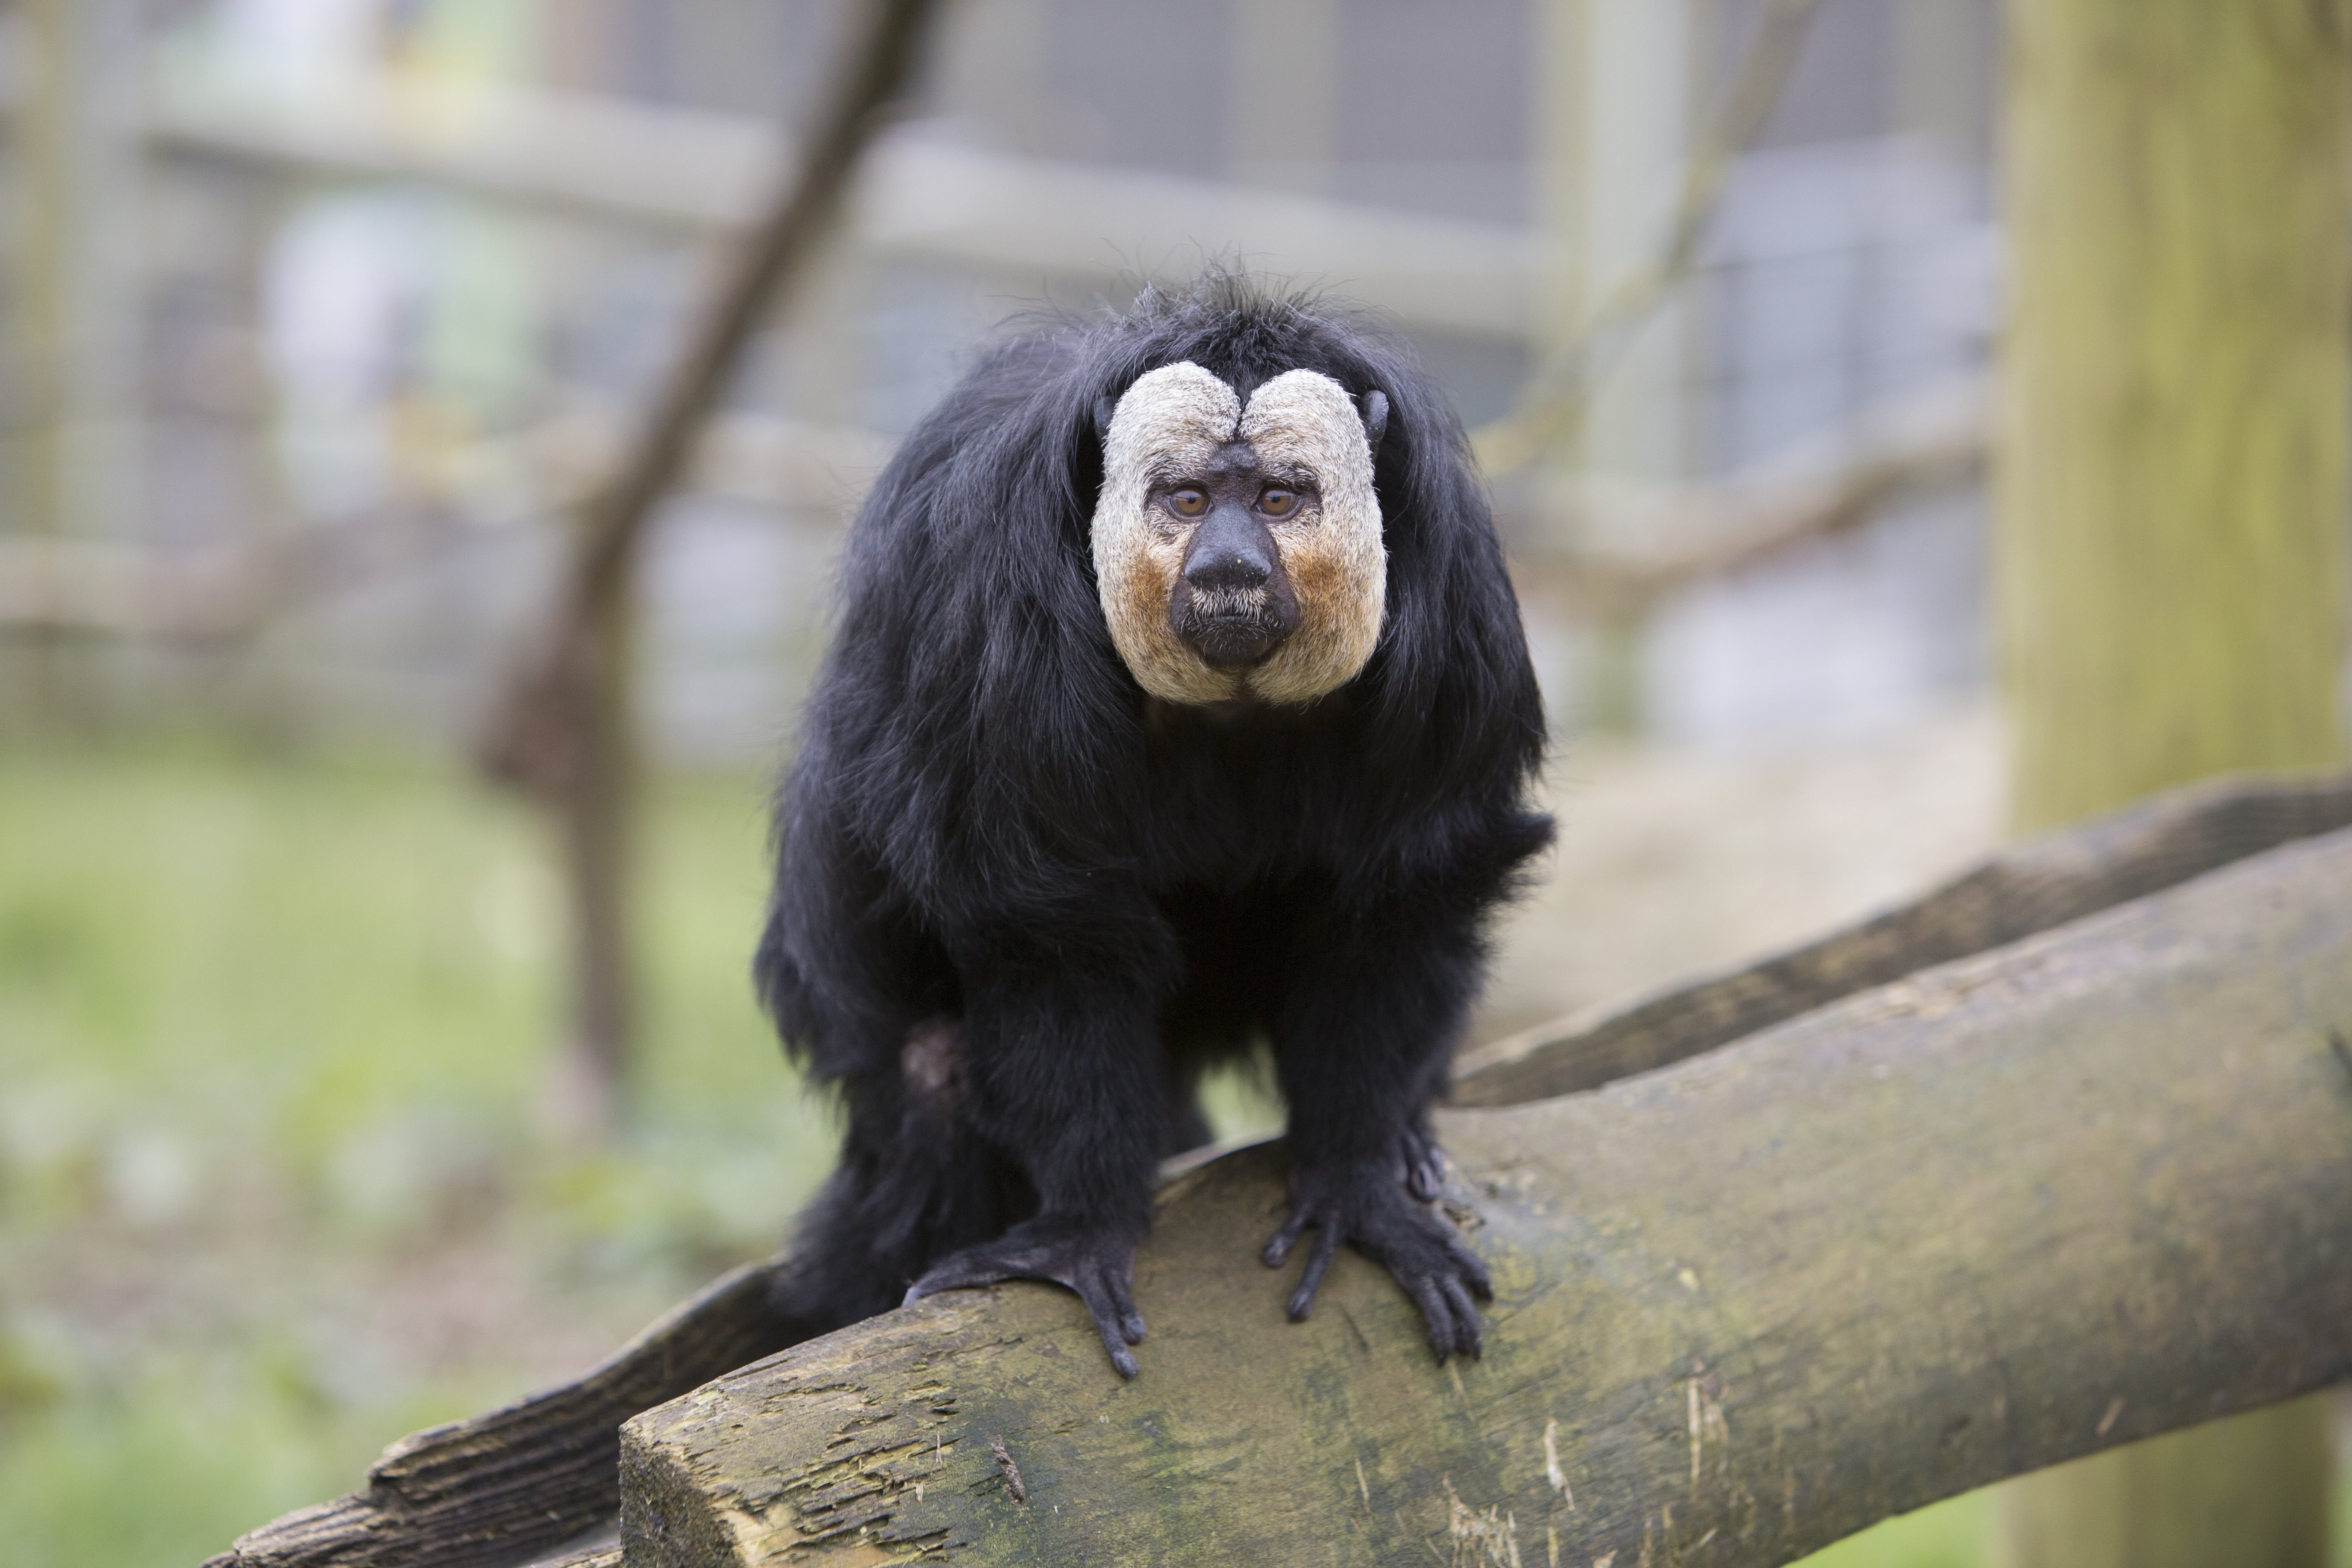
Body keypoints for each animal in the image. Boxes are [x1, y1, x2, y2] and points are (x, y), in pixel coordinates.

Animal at [762, 278, 1552, 1373]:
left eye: (1278, 500)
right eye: (1185, 500)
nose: (1227, 566)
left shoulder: (1453, 615)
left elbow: (1400, 902)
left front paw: (1357, 1175)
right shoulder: (987, 607)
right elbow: (1051, 933)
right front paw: (1083, 1226)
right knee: (930, 1076)